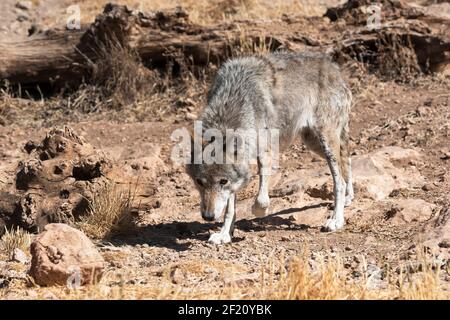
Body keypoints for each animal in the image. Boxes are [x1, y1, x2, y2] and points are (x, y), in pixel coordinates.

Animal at [185, 51, 354, 244]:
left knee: (339, 181)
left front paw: (259, 211)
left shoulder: (265, 153)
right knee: (346, 159)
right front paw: (224, 234)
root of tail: (335, 68)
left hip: (325, 141)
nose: (207, 216)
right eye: (199, 182)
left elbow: (260, 200)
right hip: (313, 143)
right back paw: (349, 197)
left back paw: (336, 220)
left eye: (222, 181)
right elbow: (229, 209)